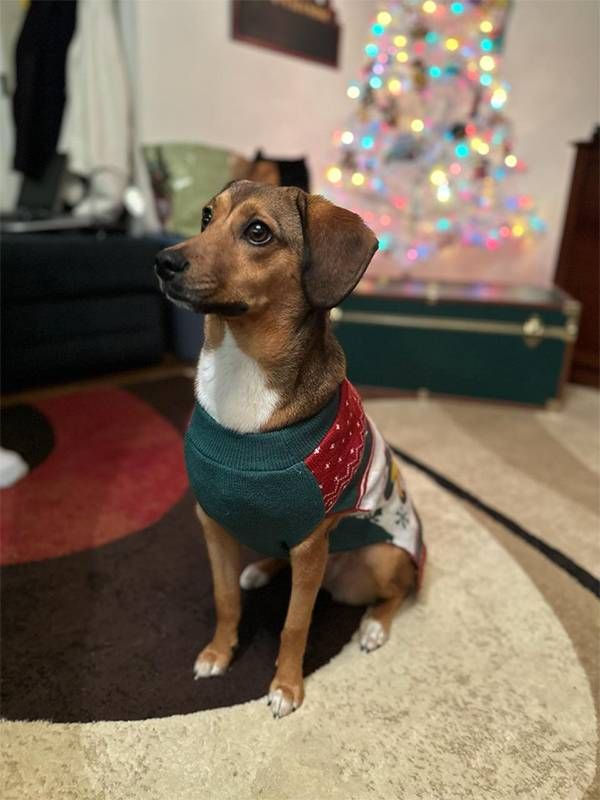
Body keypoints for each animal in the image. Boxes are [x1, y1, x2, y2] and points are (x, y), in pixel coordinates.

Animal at [155, 181, 426, 720]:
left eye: (258, 232)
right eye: (206, 217)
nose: (162, 261)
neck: (242, 367)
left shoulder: (309, 542)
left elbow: (295, 625)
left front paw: (285, 686)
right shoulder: (212, 522)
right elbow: (224, 600)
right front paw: (218, 653)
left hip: (382, 557)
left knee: (396, 592)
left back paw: (373, 626)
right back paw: (260, 570)